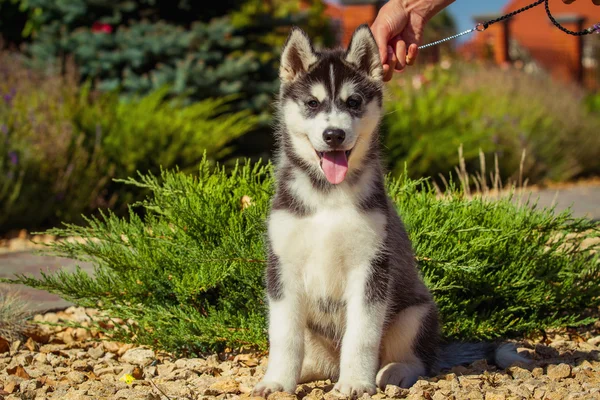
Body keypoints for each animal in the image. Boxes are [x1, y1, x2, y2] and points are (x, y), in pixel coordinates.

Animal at [253, 26, 524, 398]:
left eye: (353, 102)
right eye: (312, 103)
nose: (334, 134)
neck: (328, 195)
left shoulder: (372, 267)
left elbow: (362, 336)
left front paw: (355, 382)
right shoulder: (283, 268)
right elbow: (283, 336)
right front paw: (278, 381)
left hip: (415, 313)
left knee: (418, 361)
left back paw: (392, 372)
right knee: (320, 362)